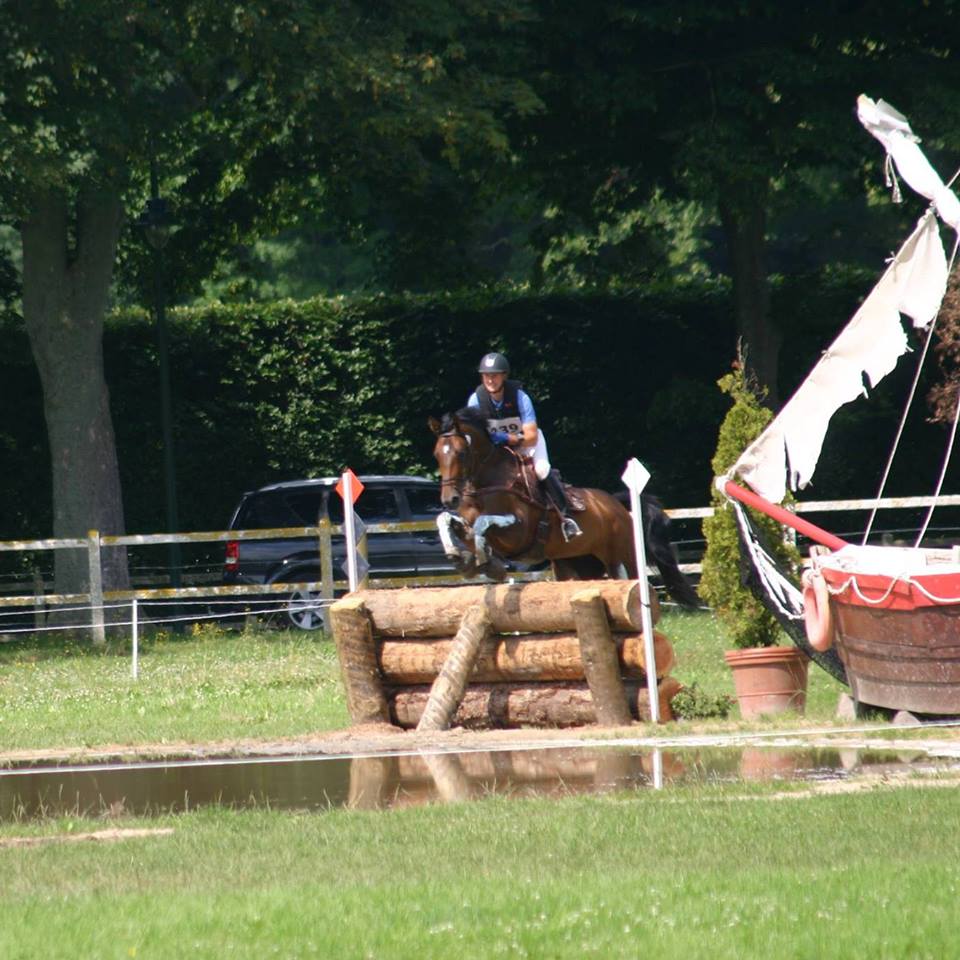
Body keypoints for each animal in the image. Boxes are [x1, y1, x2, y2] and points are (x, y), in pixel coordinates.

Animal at [430, 406, 696, 608]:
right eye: (436, 455)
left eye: (461, 453)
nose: (449, 499)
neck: (486, 484)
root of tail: (616, 504)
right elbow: (447, 521)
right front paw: (460, 558)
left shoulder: (518, 532)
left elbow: (483, 523)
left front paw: (488, 562)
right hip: (578, 564)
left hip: (623, 555)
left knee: (633, 579)